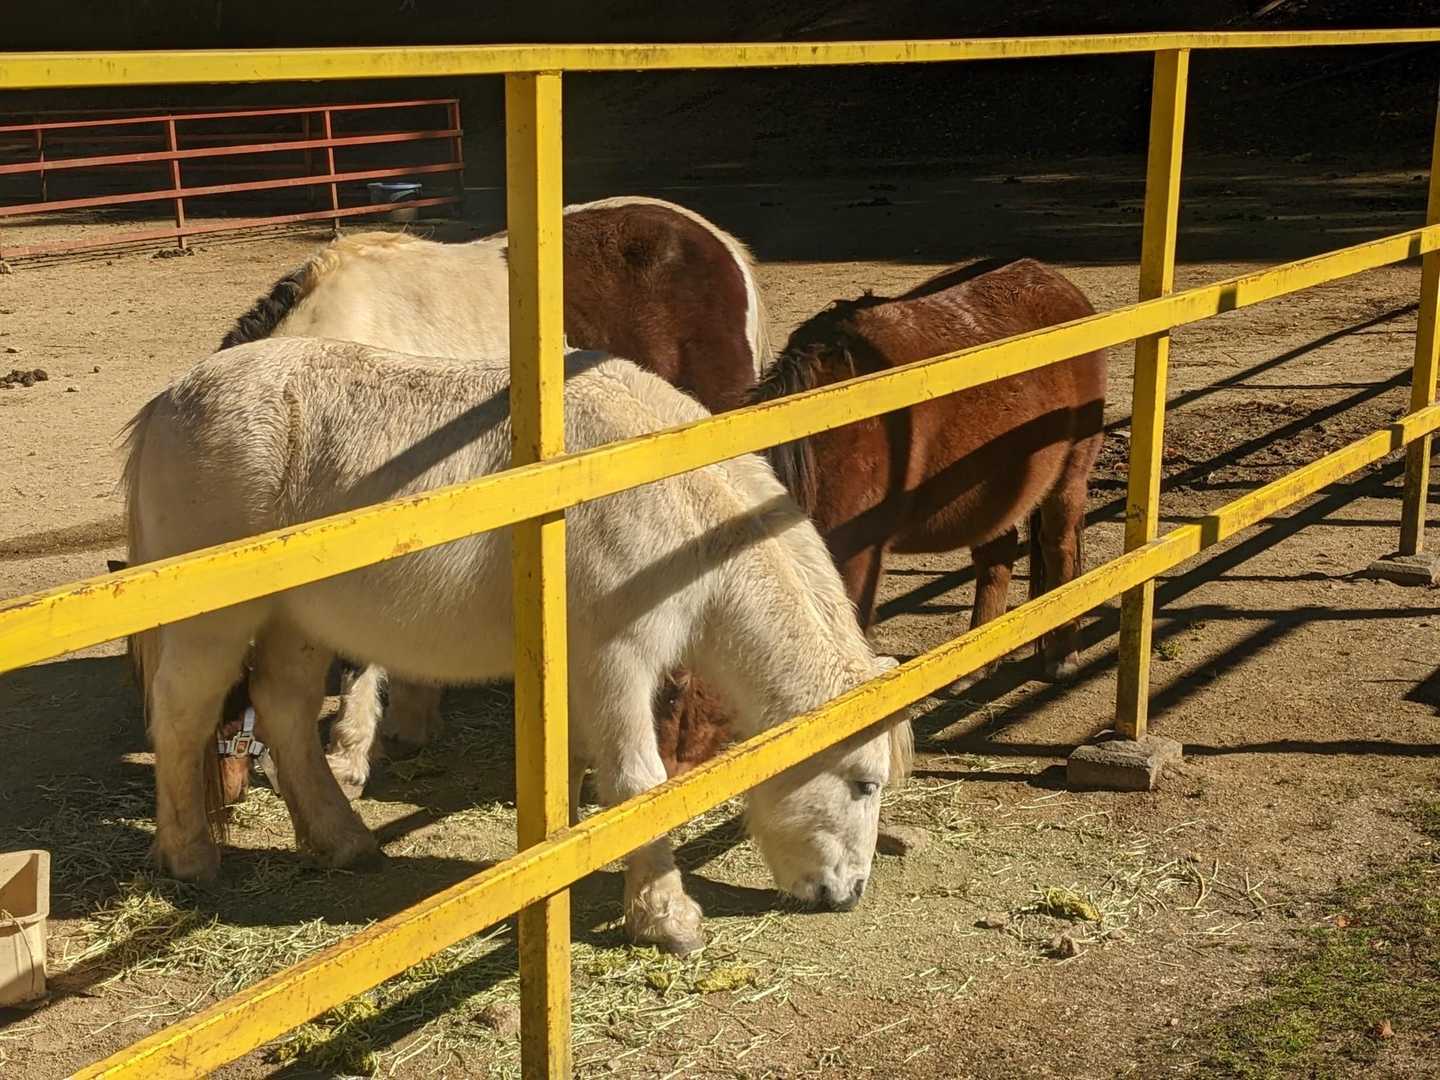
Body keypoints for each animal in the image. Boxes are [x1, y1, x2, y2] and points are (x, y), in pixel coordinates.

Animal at [124, 339, 911, 953]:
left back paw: (342, 839)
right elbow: (637, 783)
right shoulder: (614, 662)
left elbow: (573, 763)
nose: (848, 892)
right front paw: (667, 917)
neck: (665, 486)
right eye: (864, 784)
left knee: (284, 713)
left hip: (297, 625)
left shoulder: (574, 669)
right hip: (216, 625)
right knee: (184, 717)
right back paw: (190, 856)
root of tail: (168, 401)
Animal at [662, 257, 1108, 765]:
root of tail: (1060, 285)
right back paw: (975, 665)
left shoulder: (858, 554)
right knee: (996, 557)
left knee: (1060, 548)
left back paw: (1062, 655)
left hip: (1068, 477)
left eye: (676, 693)